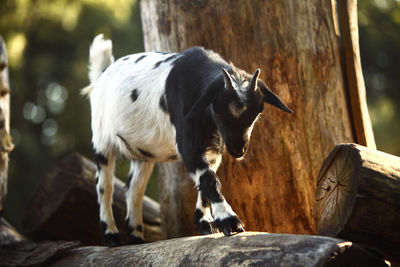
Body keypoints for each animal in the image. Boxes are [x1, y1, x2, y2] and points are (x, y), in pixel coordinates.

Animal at [83, 34, 292, 248]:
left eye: (255, 114)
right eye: (220, 111)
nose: (239, 149)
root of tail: (102, 74)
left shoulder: (213, 150)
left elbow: (206, 179)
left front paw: (205, 223)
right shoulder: (188, 144)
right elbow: (208, 178)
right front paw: (229, 220)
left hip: (143, 154)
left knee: (134, 189)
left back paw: (136, 238)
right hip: (101, 141)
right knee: (104, 185)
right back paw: (111, 235)